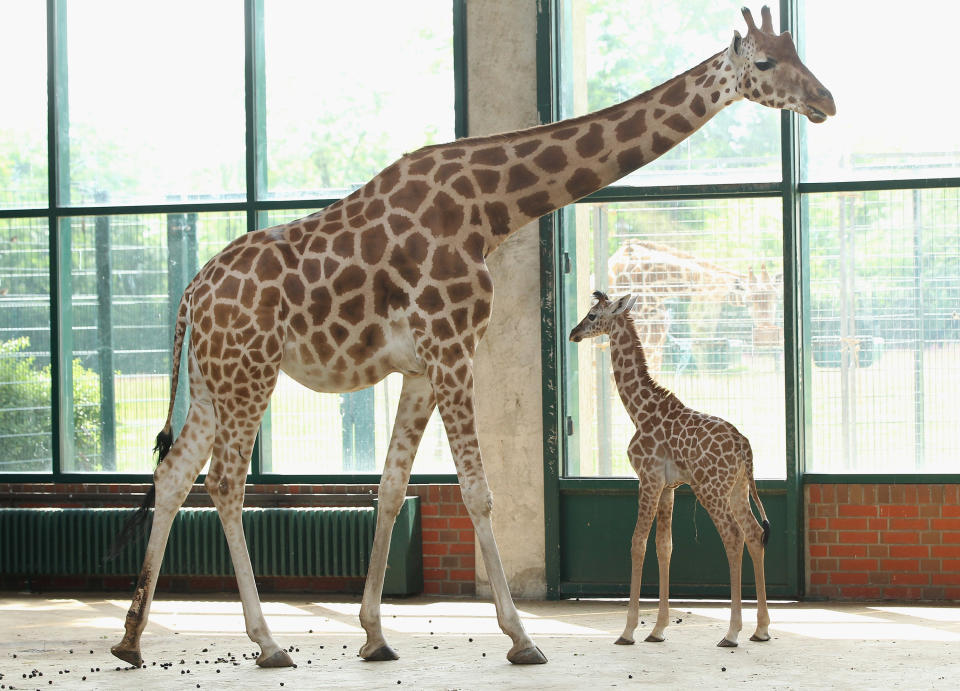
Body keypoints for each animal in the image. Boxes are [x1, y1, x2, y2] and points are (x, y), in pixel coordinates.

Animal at [568, 292, 772, 648]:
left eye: (592, 315)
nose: (573, 333)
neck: (639, 410)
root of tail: (744, 448)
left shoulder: (647, 478)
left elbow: (637, 543)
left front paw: (628, 631)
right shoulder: (668, 487)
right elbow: (665, 547)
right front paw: (658, 629)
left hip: (710, 488)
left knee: (733, 537)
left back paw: (732, 632)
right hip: (737, 488)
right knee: (754, 533)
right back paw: (760, 629)